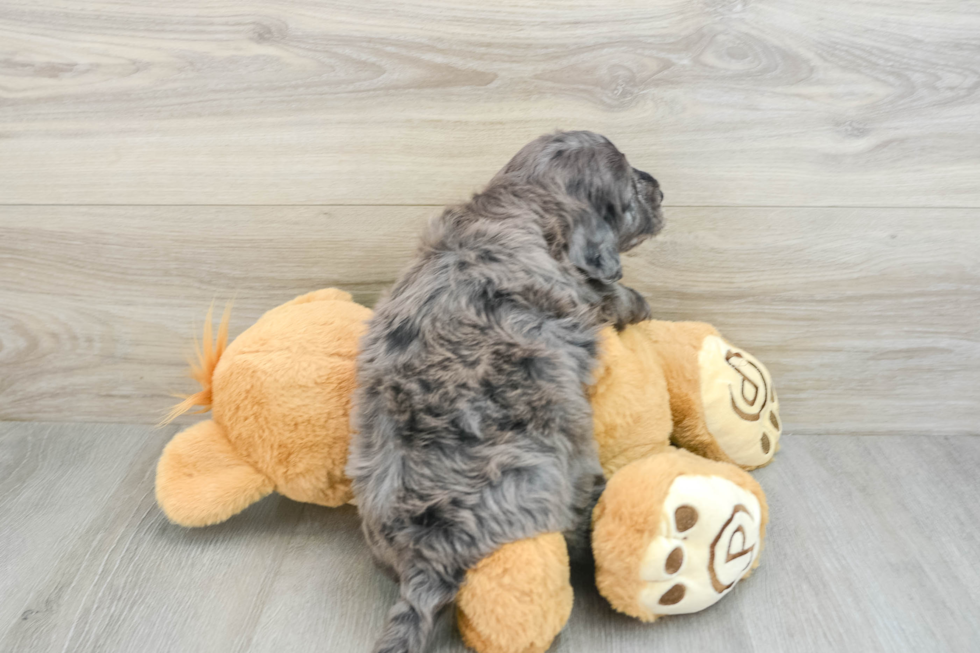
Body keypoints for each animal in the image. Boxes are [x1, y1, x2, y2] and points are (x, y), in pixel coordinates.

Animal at [348, 129, 664, 652]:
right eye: (633, 189)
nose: (659, 187)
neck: (516, 203)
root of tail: (425, 563)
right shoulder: (588, 291)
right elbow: (616, 294)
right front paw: (642, 304)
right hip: (568, 468)